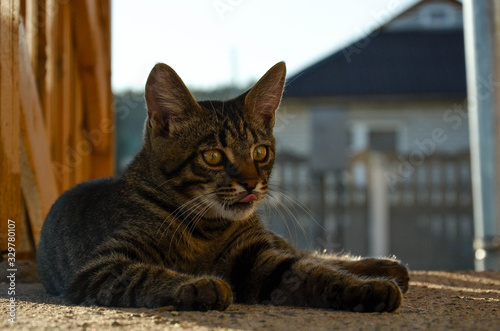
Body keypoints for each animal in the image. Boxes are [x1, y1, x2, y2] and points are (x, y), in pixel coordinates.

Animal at [37, 62, 408, 314]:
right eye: (213, 156)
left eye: (260, 152)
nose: (250, 182)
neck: (206, 228)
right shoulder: (99, 270)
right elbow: (147, 276)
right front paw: (199, 284)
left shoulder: (259, 257)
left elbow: (314, 272)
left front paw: (368, 289)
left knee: (309, 255)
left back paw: (384, 268)